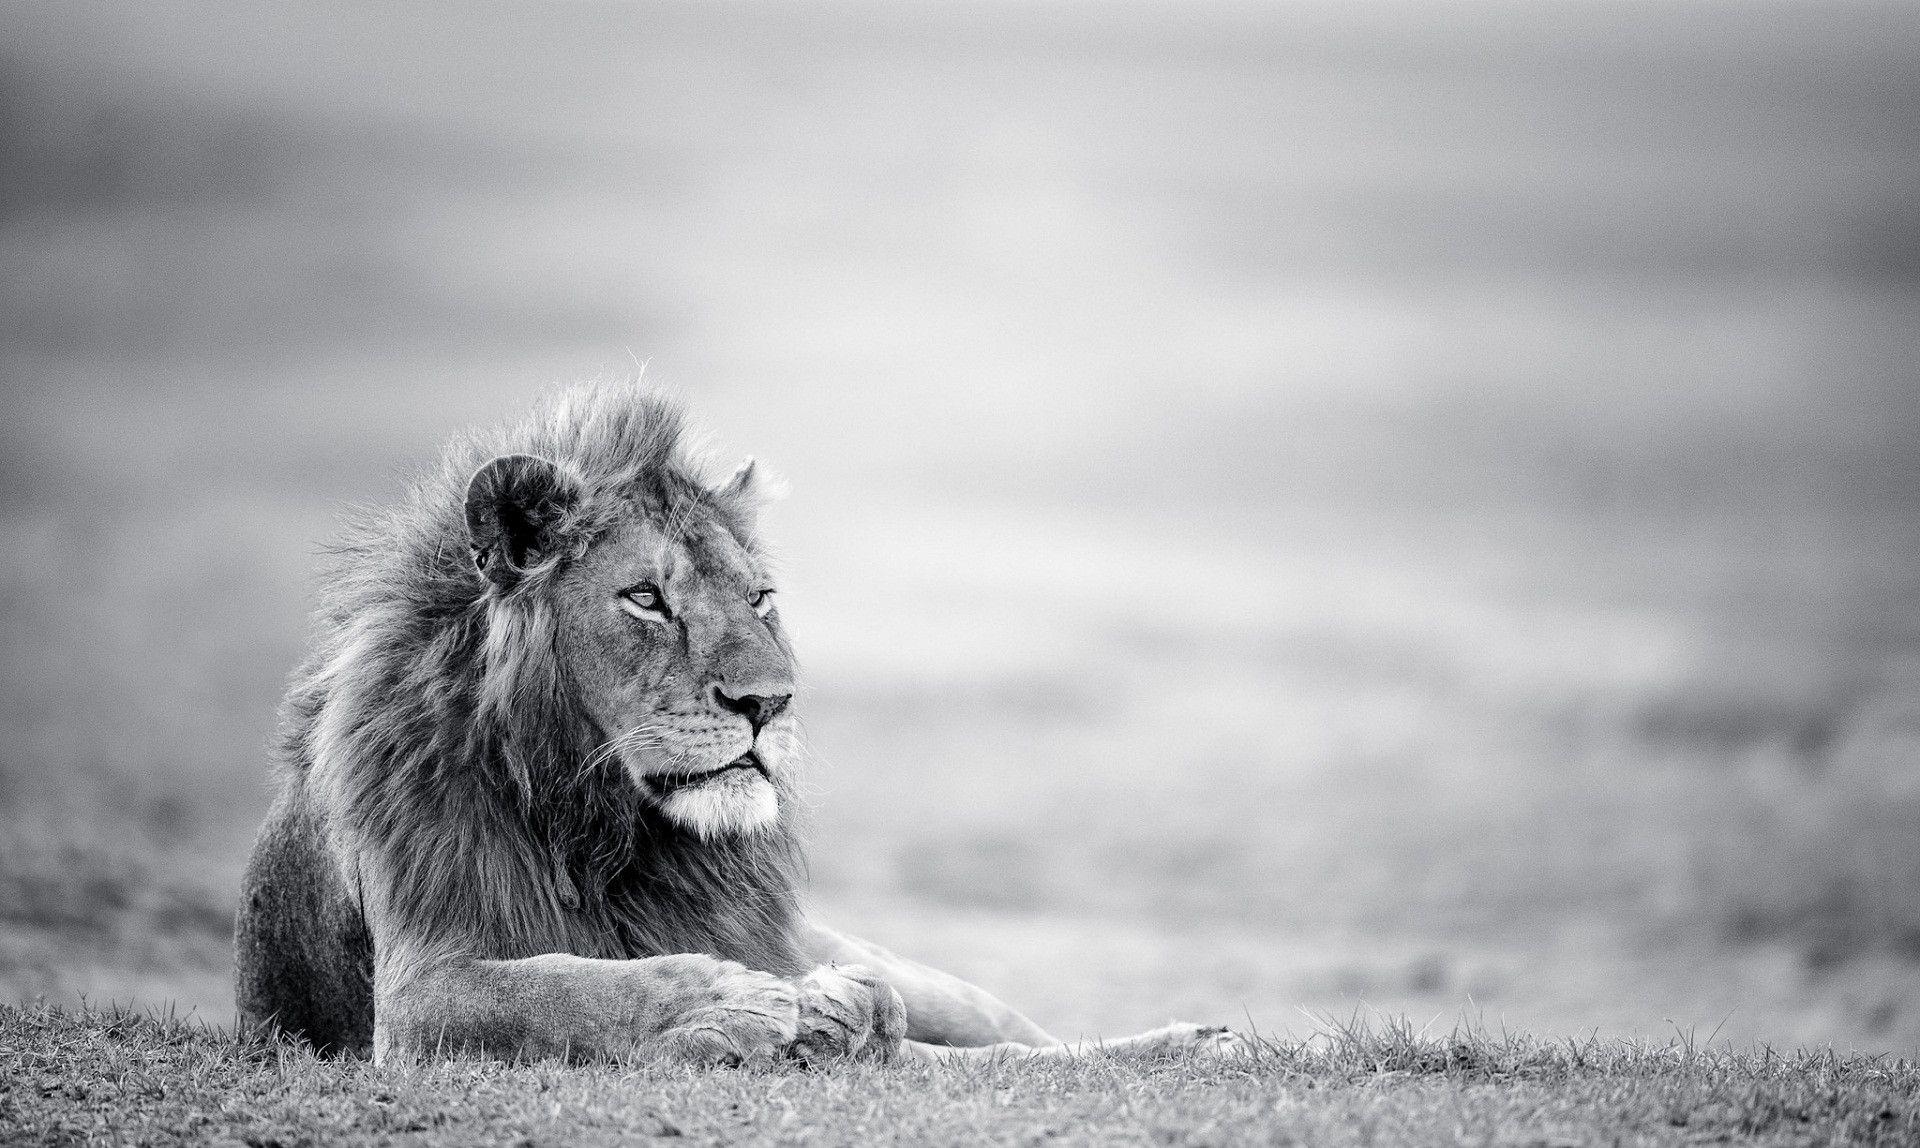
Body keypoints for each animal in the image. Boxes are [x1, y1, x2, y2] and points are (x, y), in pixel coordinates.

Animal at [234, 383, 1237, 1065]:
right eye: (645, 598)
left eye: (759, 599)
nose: (769, 702)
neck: (608, 828)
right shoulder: (419, 996)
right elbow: (563, 989)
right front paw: (720, 1006)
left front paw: (828, 1015)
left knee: (1013, 1041)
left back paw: (1198, 1040)